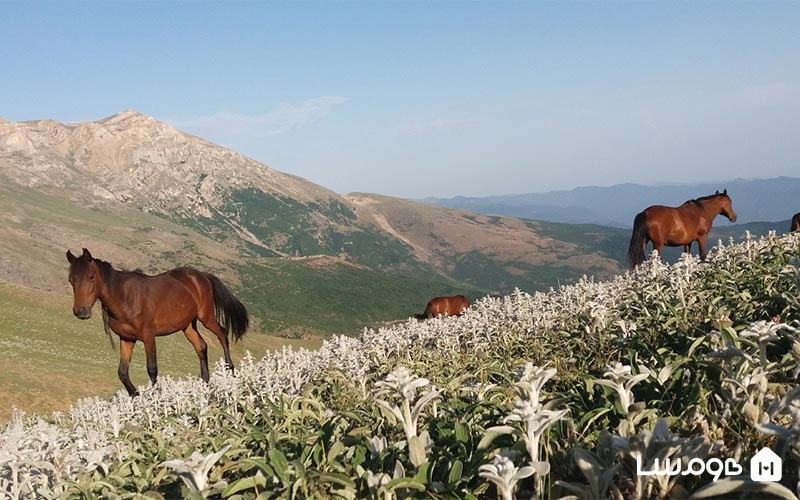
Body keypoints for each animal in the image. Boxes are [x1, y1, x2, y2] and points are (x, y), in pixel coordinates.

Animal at [66, 248, 247, 396]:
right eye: (71, 280)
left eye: (91, 277)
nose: (80, 311)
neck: (125, 298)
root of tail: (202, 275)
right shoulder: (127, 338)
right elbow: (122, 372)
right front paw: (136, 396)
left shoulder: (148, 336)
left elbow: (152, 369)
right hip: (187, 325)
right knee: (201, 346)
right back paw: (204, 382)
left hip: (206, 316)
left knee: (222, 334)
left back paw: (230, 371)